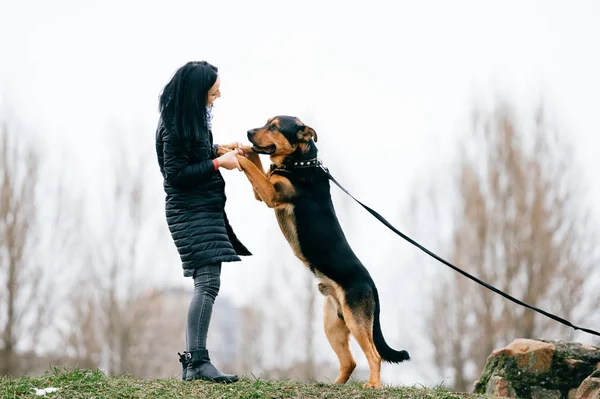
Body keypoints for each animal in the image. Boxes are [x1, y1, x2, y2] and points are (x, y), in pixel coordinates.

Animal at [234, 115, 408, 388]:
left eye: (274, 127)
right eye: (265, 122)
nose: (249, 132)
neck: (300, 163)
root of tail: (372, 285)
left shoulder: (272, 194)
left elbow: (250, 166)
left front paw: (230, 153)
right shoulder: (263, 192)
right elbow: (256, 162)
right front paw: (237, 149)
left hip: (357, 321)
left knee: (374, 354)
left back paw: (373, 385)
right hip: (333, 325)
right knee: (350, 362)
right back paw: (334, 385)